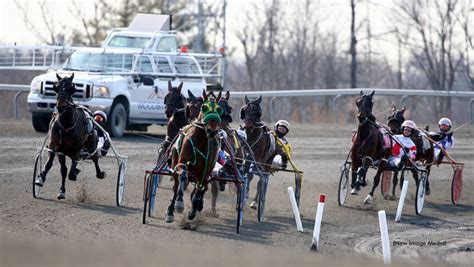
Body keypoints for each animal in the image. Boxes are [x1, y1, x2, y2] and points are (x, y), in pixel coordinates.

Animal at [166, 91, 223, 223]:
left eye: (219, 109)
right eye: (204, 107)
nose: (212, 131)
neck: (201, 141)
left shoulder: (205, 172)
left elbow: (200, 188)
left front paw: (193, 211)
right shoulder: (181, 163)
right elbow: (182, 176)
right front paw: (179, 204)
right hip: (175, 163)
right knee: (176, 186)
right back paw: (171, 210)